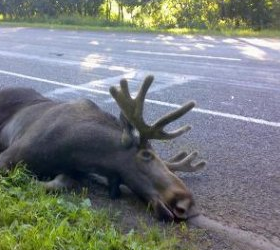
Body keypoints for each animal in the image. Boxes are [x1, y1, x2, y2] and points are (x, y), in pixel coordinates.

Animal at [0, 75, 206, 221]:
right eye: (146, 155)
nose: (187, 202)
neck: (80, 152)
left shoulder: (74, 172)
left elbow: (63, 182)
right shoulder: (9, 155)